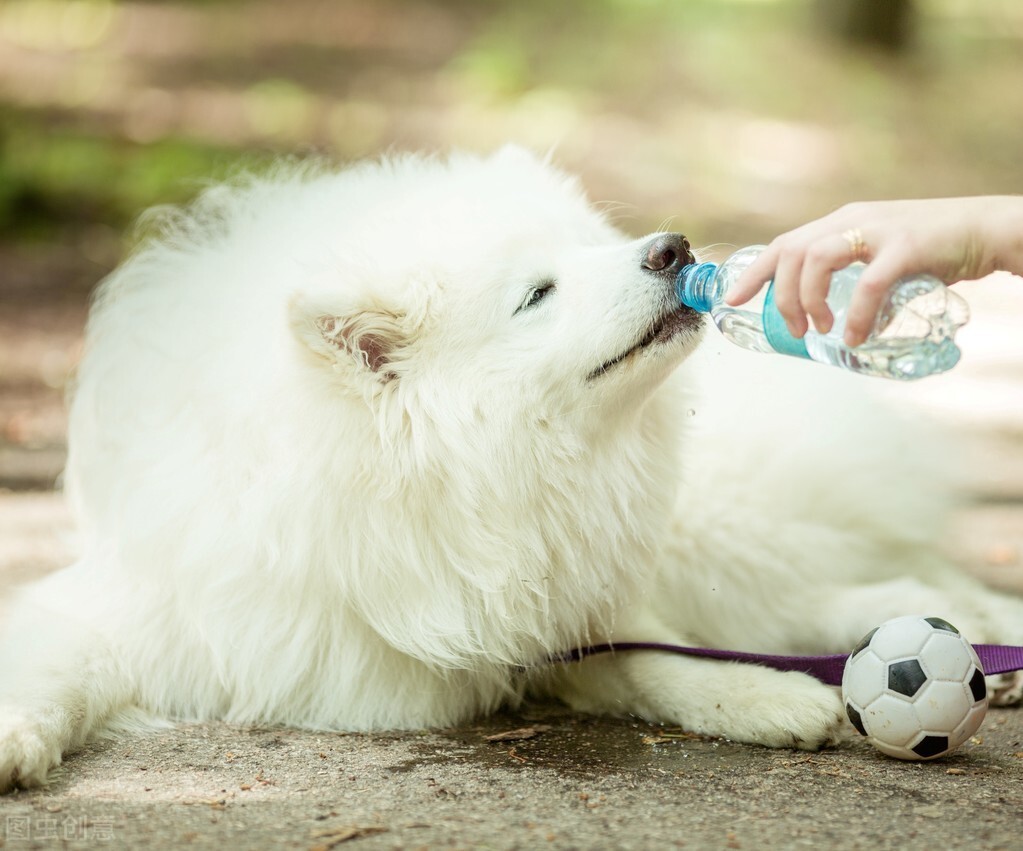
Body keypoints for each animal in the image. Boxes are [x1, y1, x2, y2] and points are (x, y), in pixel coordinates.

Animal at [1, 148, 1023, 789]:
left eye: (587, 244)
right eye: (537, 293)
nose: (674, 249)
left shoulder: (563, 595)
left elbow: (657, 654)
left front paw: (760, 695)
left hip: (715, 524)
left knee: (854, 581)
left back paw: (981, 632)